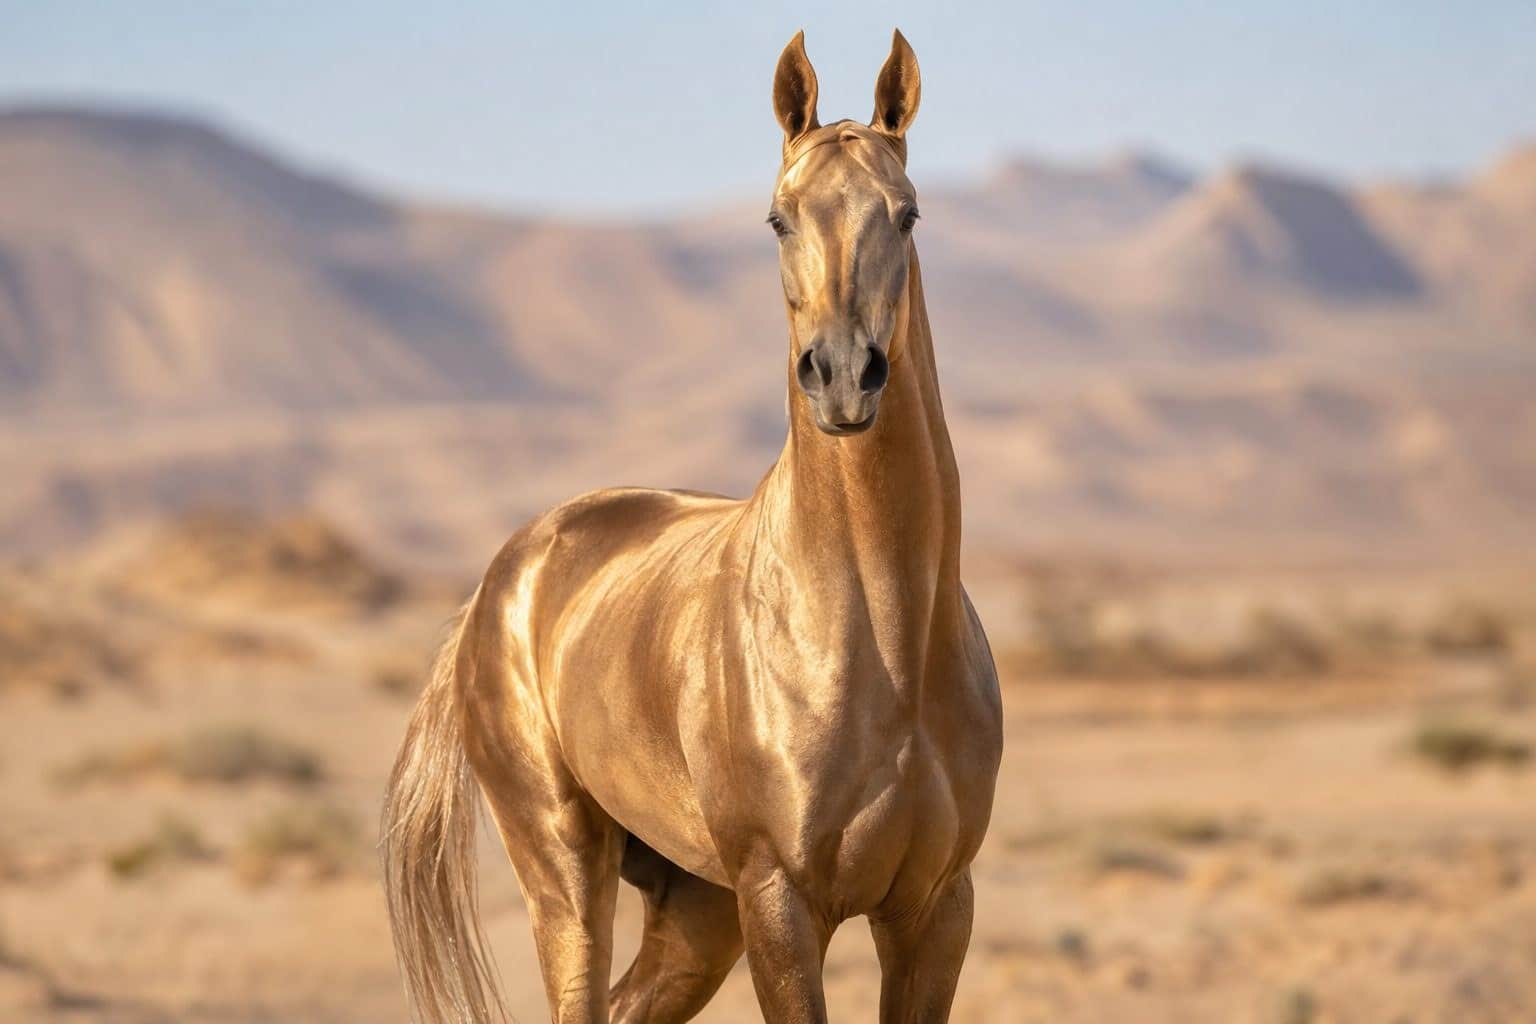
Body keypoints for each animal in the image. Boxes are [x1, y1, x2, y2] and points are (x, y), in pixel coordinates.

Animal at [381, 29, 1003, 1023]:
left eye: (907, 215)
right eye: (778, 220)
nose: (842, 376)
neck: (886, 644)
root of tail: (501, 581)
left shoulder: (937, 909)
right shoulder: (781, 902)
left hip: (695, 908)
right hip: (566, 869)